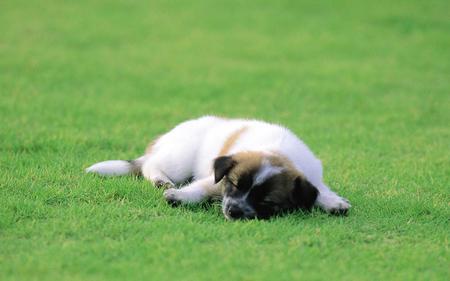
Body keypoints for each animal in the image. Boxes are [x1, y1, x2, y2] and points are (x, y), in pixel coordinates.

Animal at [86, 115, 350, 219]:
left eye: (267, 202)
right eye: (234, 184)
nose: (233, 211)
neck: (279, 152)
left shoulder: (312, 175)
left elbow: (320, 190)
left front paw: (333, 202)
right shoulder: (218, 178)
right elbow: (201, 187)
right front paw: (179, 196)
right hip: (179, 159)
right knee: (150, 166)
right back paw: (161, 179)